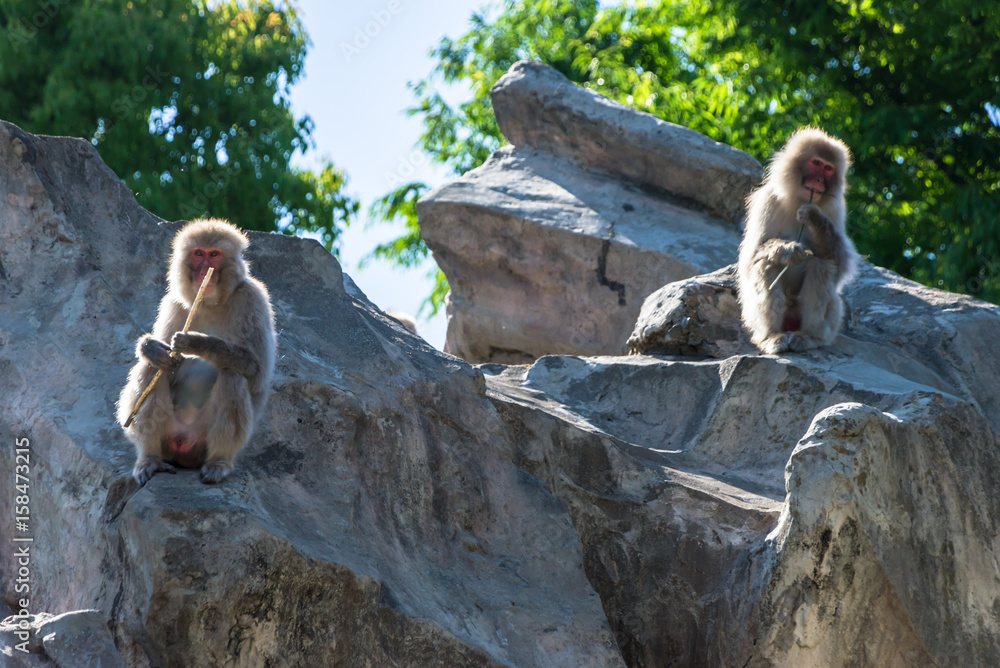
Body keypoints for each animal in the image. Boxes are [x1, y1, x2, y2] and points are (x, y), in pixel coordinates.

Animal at [117, 219, 276, 485]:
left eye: (215, 255)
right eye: (199, 254)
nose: (204, 272)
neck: (211, 302)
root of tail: (183, 445)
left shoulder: (252, 299)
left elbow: (257, 371)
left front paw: (198, 343)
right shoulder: (173, 302)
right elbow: (163, 361)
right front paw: (151, 348)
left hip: (202, 441)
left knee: (233, 377)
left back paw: (218, 463)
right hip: (170, 435)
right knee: (151, 370)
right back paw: (150, 458)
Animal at [737, 128, 859, 354]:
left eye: (828, 168)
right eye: (816, 163)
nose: (819, 181)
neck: (799, 199)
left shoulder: (836, 210)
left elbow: (839, 263)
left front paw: (814, 219)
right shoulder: (768, 200)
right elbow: (752, 258)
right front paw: (787, 251)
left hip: (831, 321)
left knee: (821, 266)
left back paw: (808, 337)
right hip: (752, 317)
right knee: (766, 266)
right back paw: (772, 336)